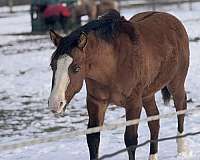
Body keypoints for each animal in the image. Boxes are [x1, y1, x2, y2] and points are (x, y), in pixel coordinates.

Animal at [48, 10, 189, 160]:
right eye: (52, 65)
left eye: (76, 68)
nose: (55, 103)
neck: (113, 65)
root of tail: (173, 20)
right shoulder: (96, 102)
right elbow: (93, 138)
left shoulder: (133, 103)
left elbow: (130, 140)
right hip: (147, 95)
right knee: (154, 121)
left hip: (176, 84)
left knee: (181, 108)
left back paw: (182, 149)